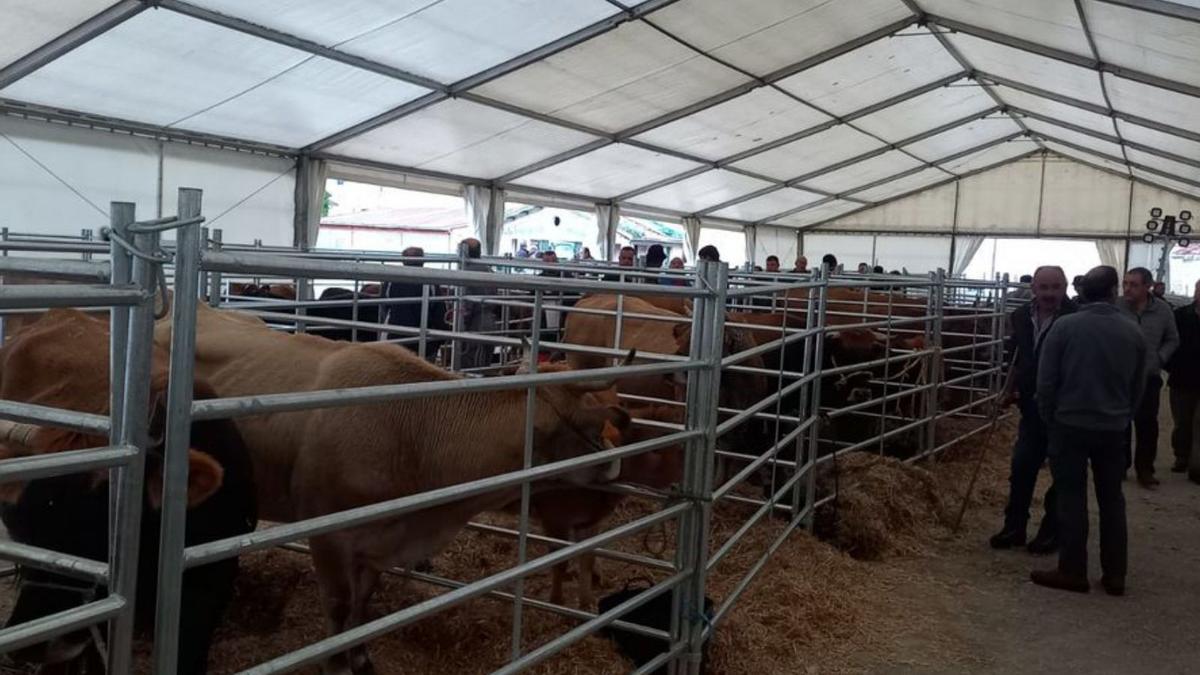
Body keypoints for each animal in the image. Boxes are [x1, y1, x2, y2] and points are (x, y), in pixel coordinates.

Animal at [154, 303, 633, 672]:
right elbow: (339, 603)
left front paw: (360, 656)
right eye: (590, 424)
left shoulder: (378, 541)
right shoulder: (327, 535)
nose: (616, 461)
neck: (411, 433)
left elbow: (363, 604)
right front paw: (335, 663)